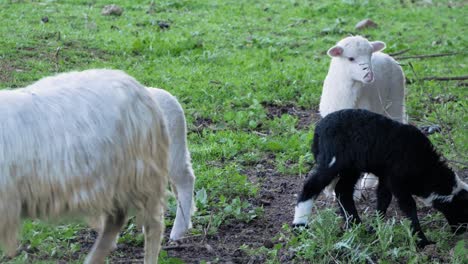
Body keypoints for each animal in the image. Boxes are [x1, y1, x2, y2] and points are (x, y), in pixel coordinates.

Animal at [294, 108, 466, 246]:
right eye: (462, 209)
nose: (462, 231)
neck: (427, 171)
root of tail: (318, 129)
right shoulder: (397, 179)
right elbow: (408, 206)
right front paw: (422, 240)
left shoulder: (386, 177)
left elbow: (384, 199)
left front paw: (374, 227)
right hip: (333, 160)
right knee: (311, 186)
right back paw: (300, 225)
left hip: (352, 167)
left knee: (343, 191)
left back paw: (356, 225)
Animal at [320, 35, 408, 200]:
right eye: (350, 58)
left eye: (370, 55)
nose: (369, 76)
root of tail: (386, 55)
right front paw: (330, 188)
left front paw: (351, 192)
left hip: (394, 102)